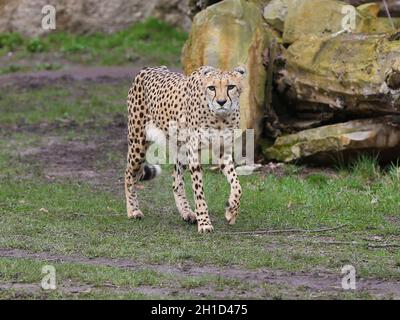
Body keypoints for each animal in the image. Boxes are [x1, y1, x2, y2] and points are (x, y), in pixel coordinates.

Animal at [125, 65, 245, 232]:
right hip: (138, 144)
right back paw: (133, 210)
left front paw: (231, 211)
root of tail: (148, 68)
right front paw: (204, 223)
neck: (219, 118)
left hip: (180, 149)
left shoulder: (223, 152)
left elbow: (237, 186)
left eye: (231, 86)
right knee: (128, 174)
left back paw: (187, 213)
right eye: (212, 88)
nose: (221, 102)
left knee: (176, 182)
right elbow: (199, 192)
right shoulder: (194, 154)